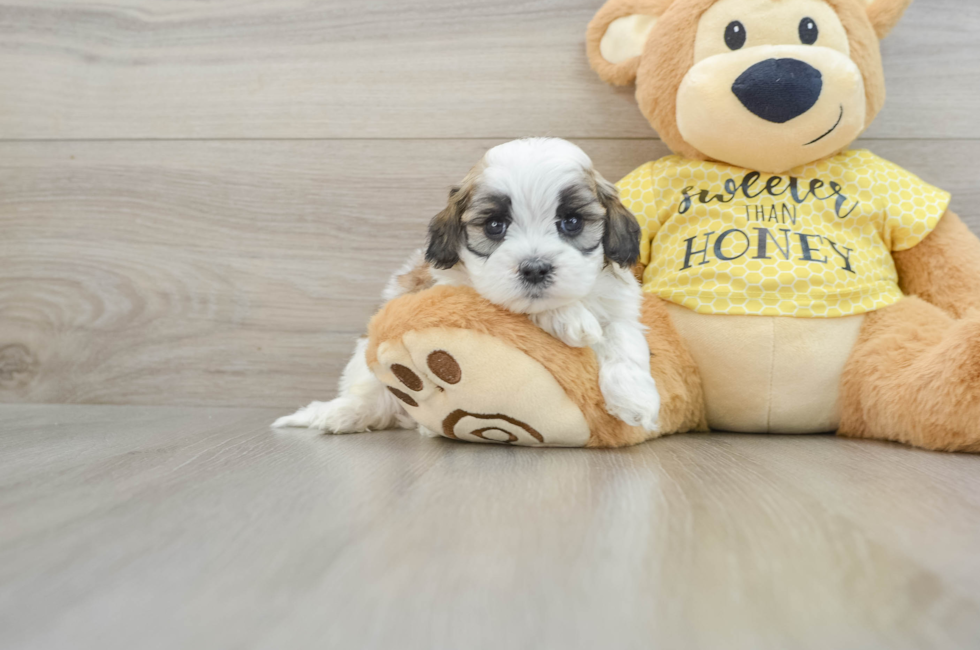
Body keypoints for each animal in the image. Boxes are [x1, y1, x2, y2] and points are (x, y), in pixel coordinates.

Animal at [272, 140, 664, 438]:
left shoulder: (620, 304)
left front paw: (635, 399)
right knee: (370, 393)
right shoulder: (456, 292)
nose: (535, 268)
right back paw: (343, 414)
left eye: (571, 221)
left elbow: (624, 338)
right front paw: (571, 318)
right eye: (494, 225)